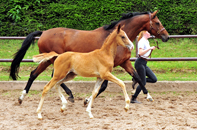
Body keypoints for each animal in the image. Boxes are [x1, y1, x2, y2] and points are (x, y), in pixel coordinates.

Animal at [9, 10, 169, 104]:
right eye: (157, 22)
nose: (166, 36)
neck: (115, 40)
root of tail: (43, 33)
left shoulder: (124, 63)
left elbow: (138, 77)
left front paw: (148, 96)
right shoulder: (107, 68)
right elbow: (103, 86)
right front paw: (87, 99)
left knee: (43, 75)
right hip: (52, 60)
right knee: (41, 75)